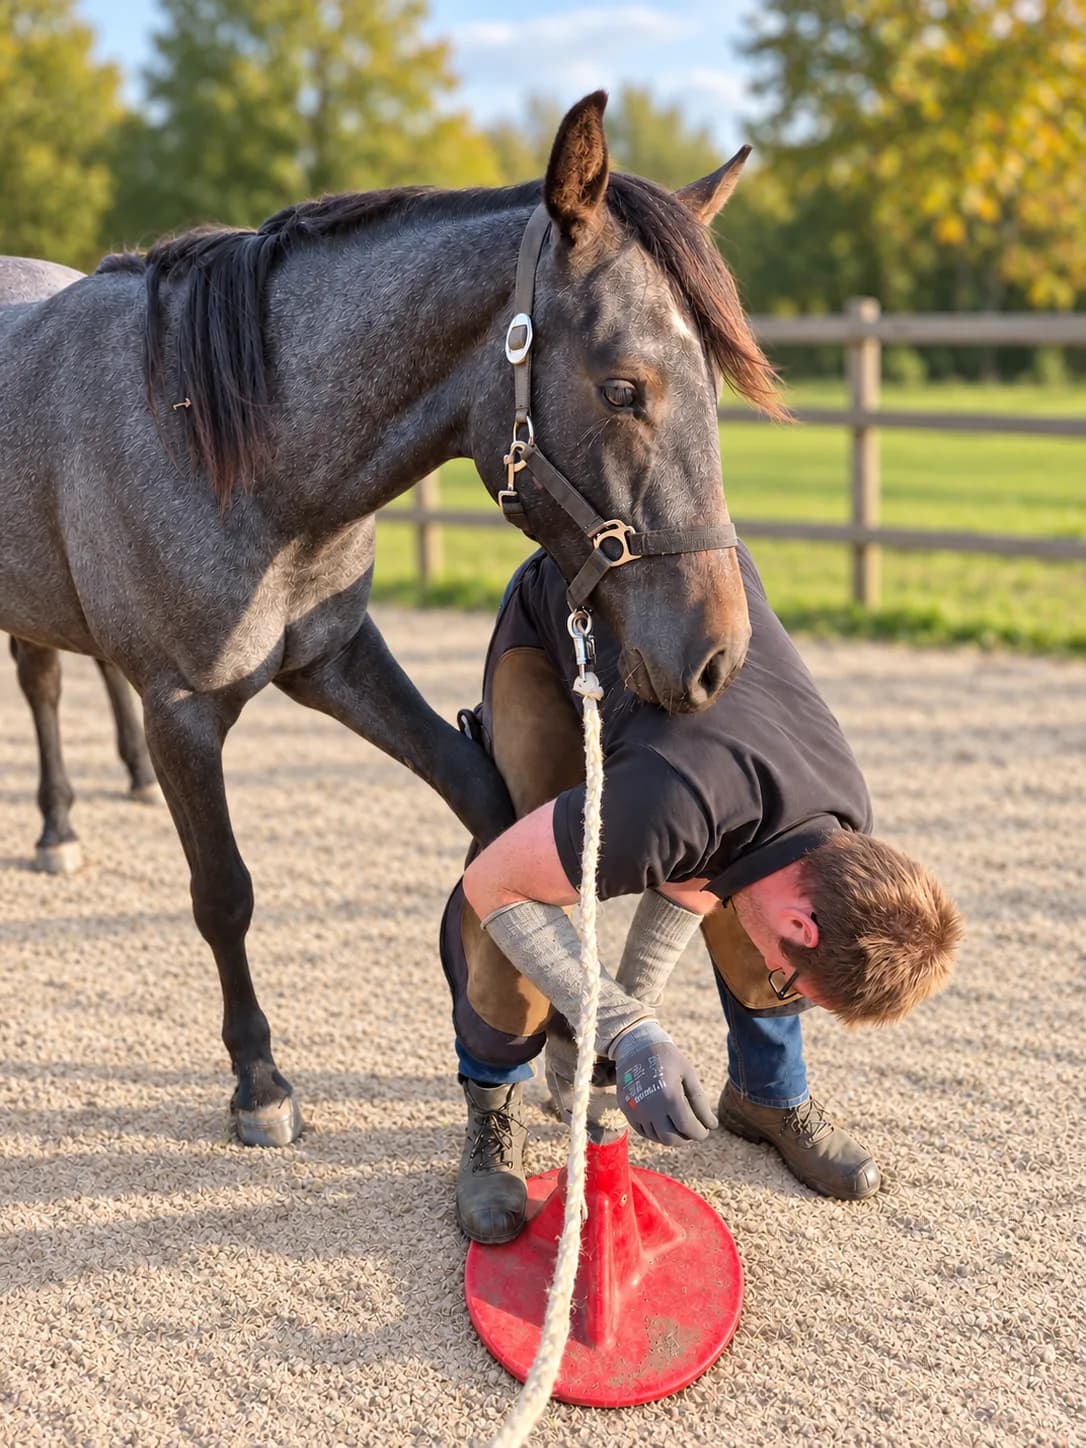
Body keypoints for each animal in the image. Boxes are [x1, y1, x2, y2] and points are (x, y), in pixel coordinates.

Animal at [0, 92, 783, 1147]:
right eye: (624, 387)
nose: (719, 655)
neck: (221, 436)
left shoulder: (334, 658)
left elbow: (485, 800)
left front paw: (565, 1038)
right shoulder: (184, 711)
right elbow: (224, 894)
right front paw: (260, 1082)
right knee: (44, 683)